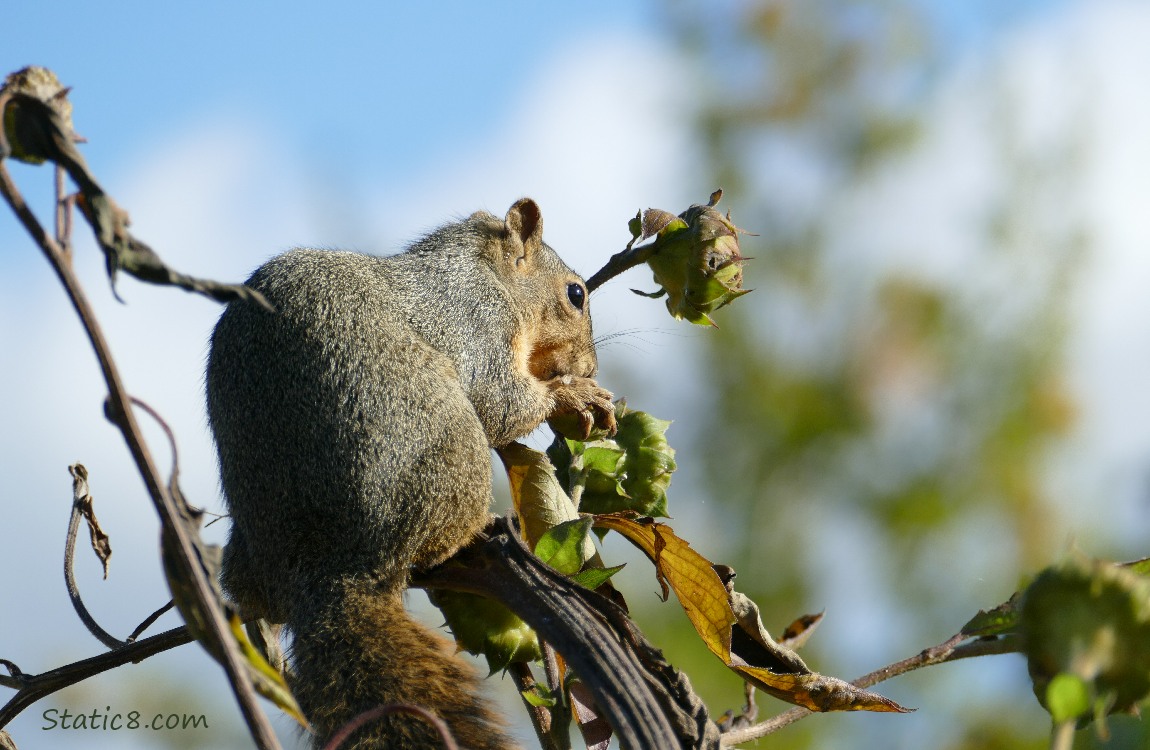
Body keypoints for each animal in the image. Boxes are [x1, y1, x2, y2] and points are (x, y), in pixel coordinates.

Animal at [207, 199, 621, 750]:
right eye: (576, 294)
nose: (590, 367)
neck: (485, 270)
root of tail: (329, 568)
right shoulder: (474, 321)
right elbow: (499, 403)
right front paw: (574, 395)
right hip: (452, 455)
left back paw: (263, 633)